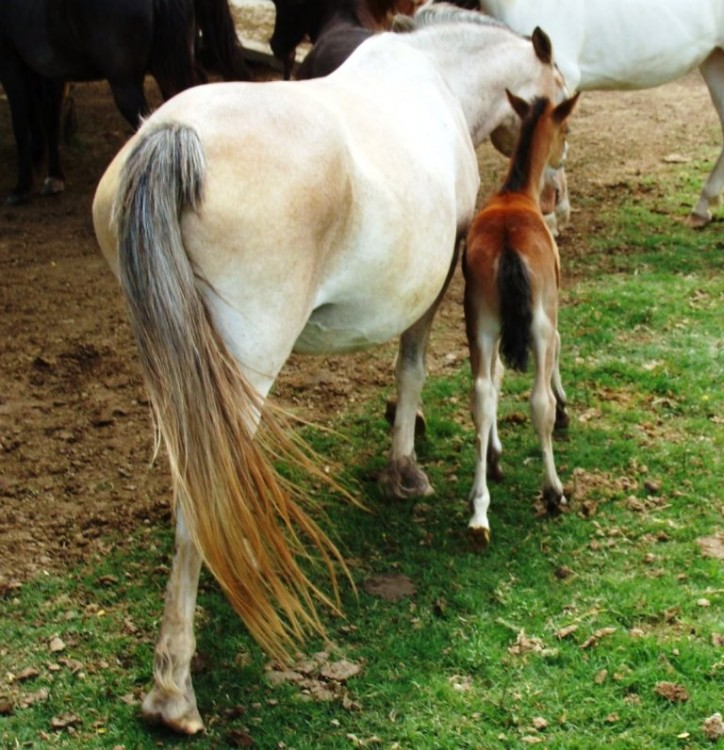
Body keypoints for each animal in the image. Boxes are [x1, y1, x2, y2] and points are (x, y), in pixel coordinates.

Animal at [90, 4, 568, 736]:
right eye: (564, 91)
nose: (552, 191)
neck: (438, 77)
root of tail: (173, 139)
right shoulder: (435, 291)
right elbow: (411, 369)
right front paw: (404, 468)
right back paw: (173, 694)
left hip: (181, 373)